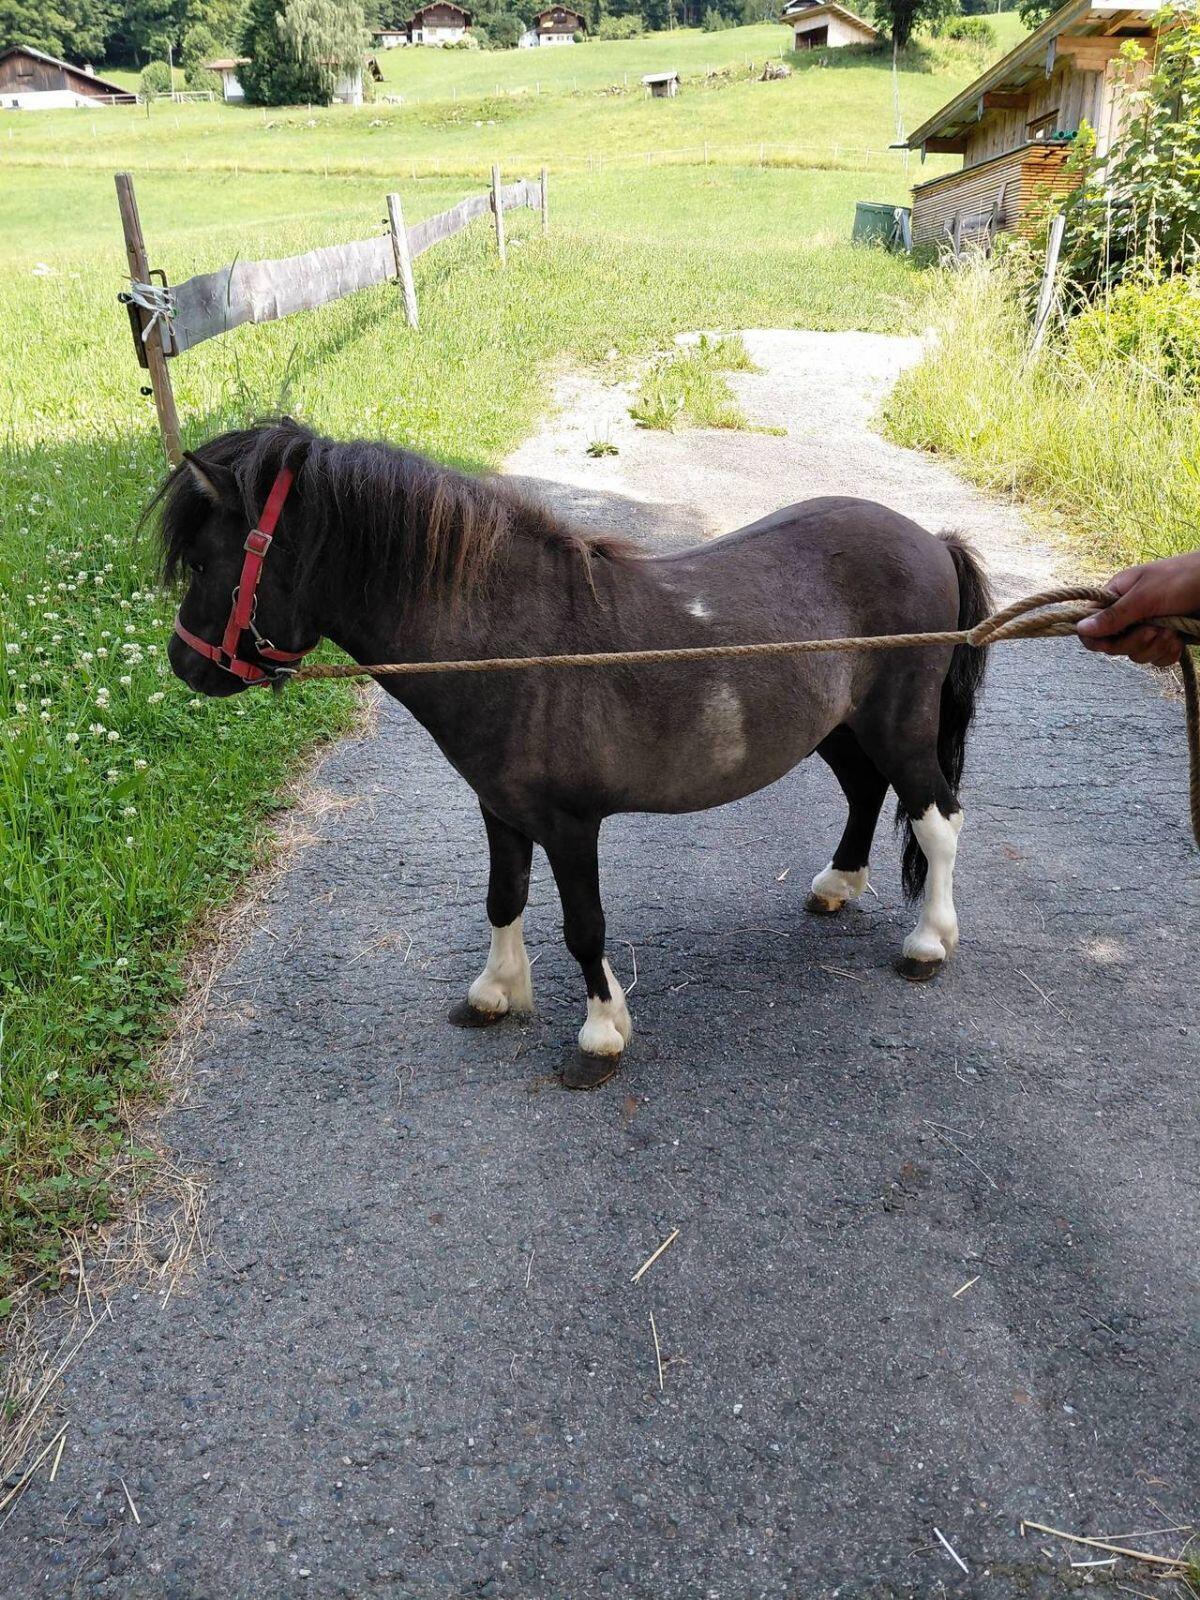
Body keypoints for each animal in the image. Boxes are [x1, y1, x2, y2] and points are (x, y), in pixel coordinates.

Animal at [155, 419, 991, 1088]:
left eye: (203, 562)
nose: (186, 664)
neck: (514, 643)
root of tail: (932, 540)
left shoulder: (570, 824)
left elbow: (583, 926)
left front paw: (600, 1035)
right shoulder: (500, 808)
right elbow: (504, 897)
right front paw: (494, 993)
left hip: (897, 723)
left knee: (937, 819)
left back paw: (928, 943)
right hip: (839, 726)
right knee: (866, 792)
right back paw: (837, 885)